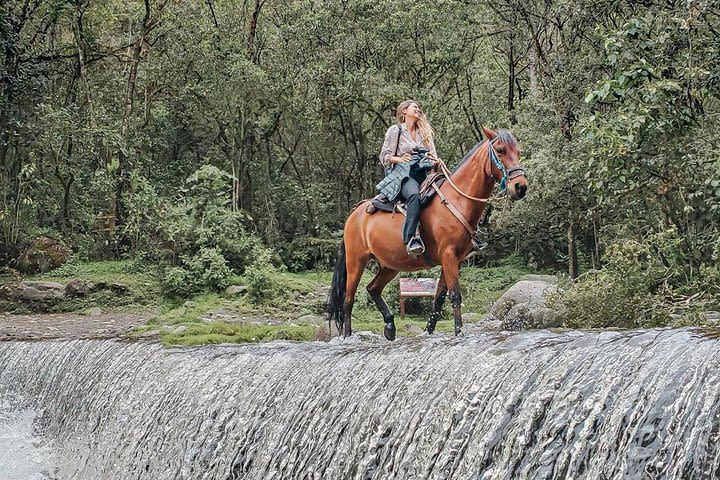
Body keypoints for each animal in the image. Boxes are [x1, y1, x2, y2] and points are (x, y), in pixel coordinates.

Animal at [330, 125, 524, 340]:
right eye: (500, 150)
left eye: (518, 152)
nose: (520, 186)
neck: (457, 200)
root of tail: (354, 213)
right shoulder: (448, 256)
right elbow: (455, 295)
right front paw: (459, 332)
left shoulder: (455, 260)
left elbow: (439, 298)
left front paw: (429, 331)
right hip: (356, 261)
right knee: (348, 299)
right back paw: (348, 336)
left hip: (390, 264)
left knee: (372, 288)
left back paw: (390, 326)